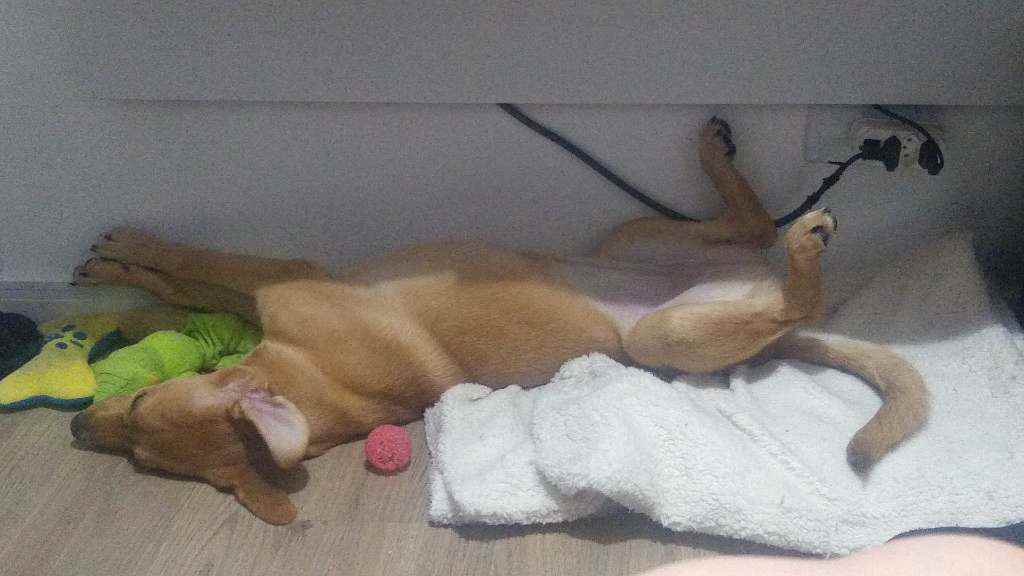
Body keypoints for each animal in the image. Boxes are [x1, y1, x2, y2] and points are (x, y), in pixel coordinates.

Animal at [70, 118, 928, 525]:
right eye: (137, 446)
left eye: (141, 406)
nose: (77, 429)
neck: (307, 379)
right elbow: (194, 294)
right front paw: (130, 290)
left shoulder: (285, 277)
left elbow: (202, 266)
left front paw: (127, 260)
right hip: (643, 248)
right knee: (751, 229)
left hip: (656, 321)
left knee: (788, 270)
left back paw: (796, 236)